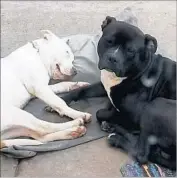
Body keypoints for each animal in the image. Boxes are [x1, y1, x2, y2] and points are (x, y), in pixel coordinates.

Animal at [46, 16, 176, 170]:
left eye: (130, 50)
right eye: (109, 41)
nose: (113, 58)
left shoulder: (134, 115)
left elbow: (100, 112)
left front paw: (110, 118)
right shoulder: (103, 86)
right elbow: (81, 90)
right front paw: (59, 102)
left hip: (156, 105)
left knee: (141, 154)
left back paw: (116, 137)